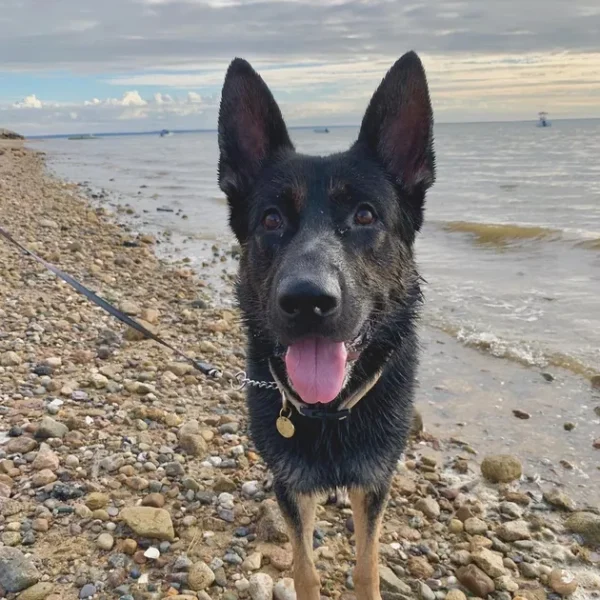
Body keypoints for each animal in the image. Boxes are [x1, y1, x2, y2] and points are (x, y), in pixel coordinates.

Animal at [218, 51, 434, 600]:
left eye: (365, 215)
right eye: (271, 220)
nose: (307, 301)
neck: (329, 412)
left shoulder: (374, 482)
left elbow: (367, 564)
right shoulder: (292, 486)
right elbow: (304, 567)